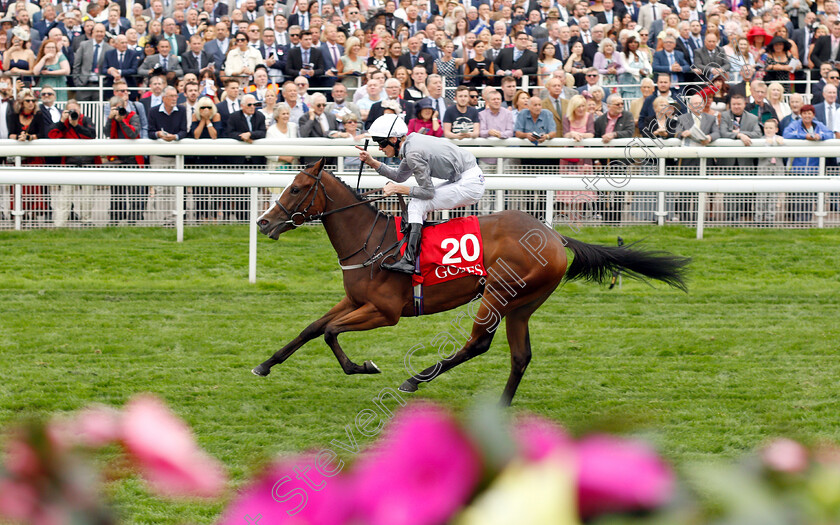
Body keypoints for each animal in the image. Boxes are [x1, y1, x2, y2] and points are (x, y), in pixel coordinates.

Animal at [254, 159, 688, 406]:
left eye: (296, 188)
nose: (262, 222)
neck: (370, 241)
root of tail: (554, 236)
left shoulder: (385, 311)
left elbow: (330, 332)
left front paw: (364, 366)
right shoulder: (354, 301)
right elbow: (312, 328)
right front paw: (264, 365)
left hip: (497, 294)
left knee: (478, 344)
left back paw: (414, 380)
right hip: (522, 305)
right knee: (520, 355)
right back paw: (501, 406)